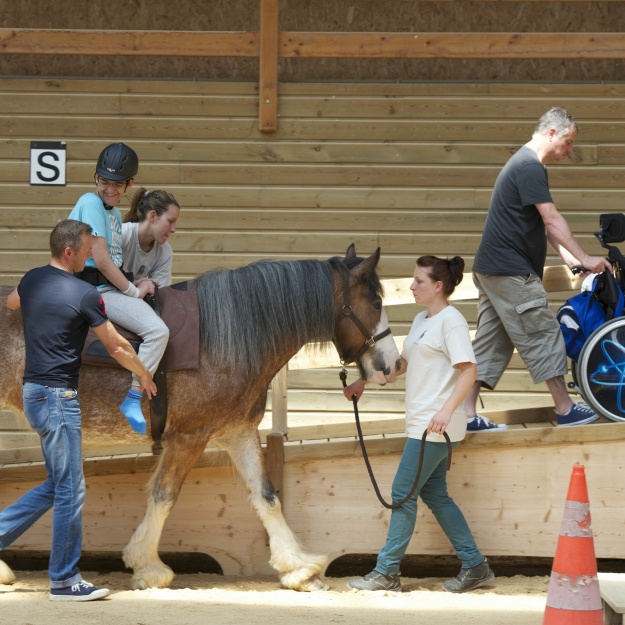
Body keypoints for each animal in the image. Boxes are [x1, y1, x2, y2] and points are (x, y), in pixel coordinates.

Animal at [0, 244, 400, 588]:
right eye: (376, 301)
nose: (393, 364)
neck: (226, 340)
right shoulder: (188, 438)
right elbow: (164, 495)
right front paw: (148, 565)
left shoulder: (239, 433)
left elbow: (266, 496)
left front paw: (297, 566)